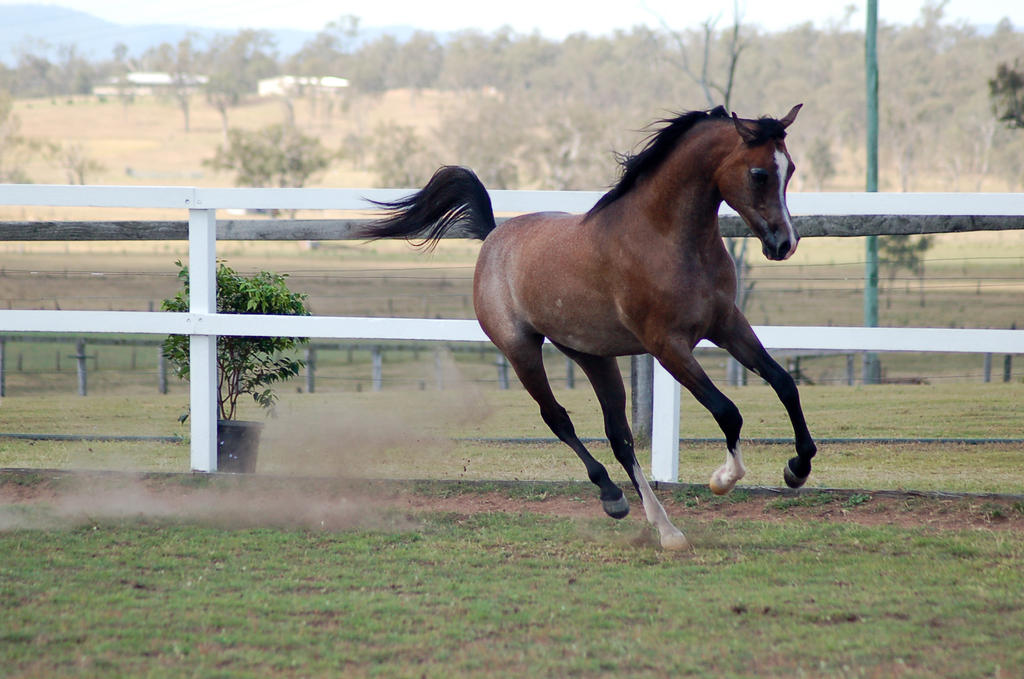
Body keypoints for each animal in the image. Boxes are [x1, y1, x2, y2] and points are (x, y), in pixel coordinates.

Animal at [360, 106, 815, 548]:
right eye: (759, 173)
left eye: (790, 168)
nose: (783, 244)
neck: (664, 238)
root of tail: (493, 236)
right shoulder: (668, 345)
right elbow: (727, 411)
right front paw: (723, 480)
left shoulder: (727, 325)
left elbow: (783, 383)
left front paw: (798, 467)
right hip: (521, 351)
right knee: (558, 418)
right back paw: (613, 498)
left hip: (592, 355)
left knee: (620, 437)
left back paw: (665, 529)